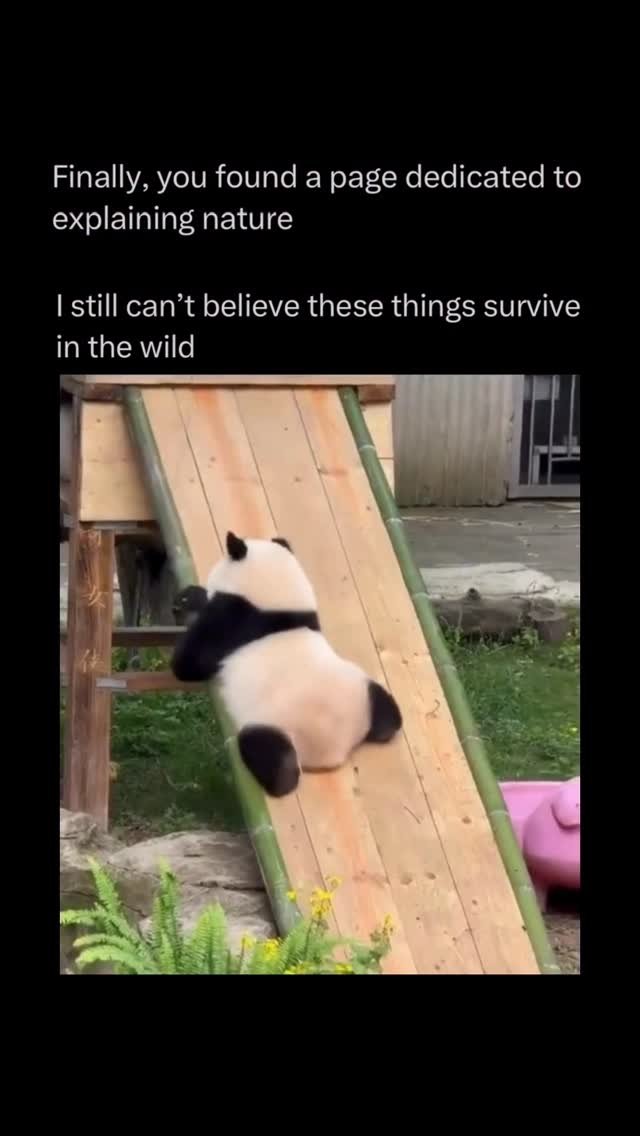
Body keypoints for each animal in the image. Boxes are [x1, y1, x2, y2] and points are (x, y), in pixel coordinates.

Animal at [170, 531, 402, 798]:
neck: (277, 610)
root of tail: (335, 751)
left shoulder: (230, 621)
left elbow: (187, 663)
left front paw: (193, 598)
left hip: (274, 726)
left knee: (266, 752)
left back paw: (279, 778)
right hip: (363, 692)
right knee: (389, 714)